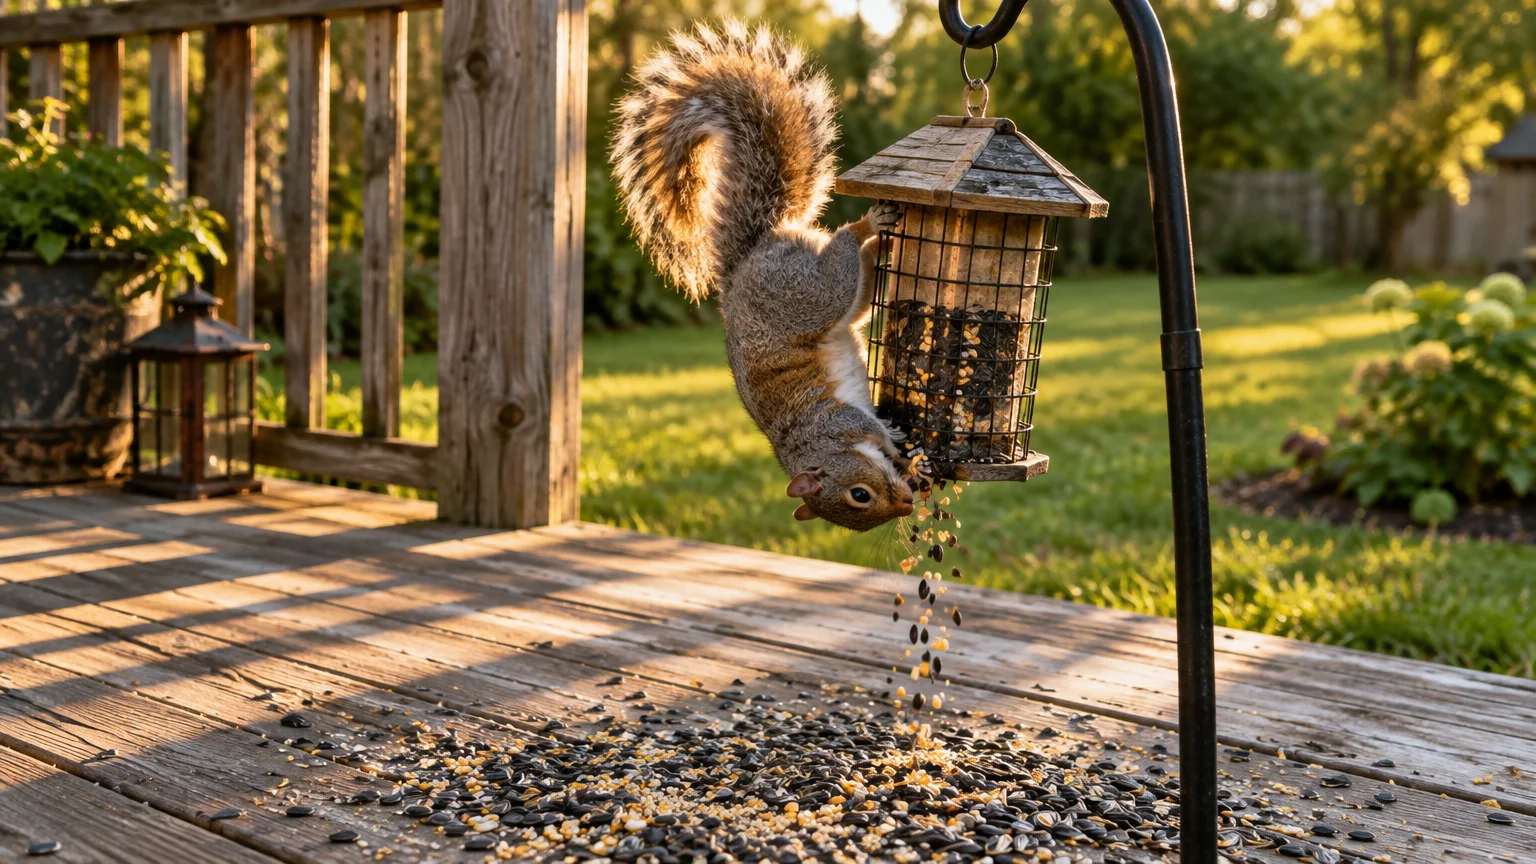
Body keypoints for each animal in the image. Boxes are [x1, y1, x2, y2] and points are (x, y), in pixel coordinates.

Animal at [612, 20, 916, 531]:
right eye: (861, 500)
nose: (909, 503)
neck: (815, 447)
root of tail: (750, 257)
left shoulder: (832, 422)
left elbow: (868, 425)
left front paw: (892, 441)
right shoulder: (833, 423)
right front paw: (899, 449)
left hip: (805, 296)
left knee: (842, 252)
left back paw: (871, 225)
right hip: (818, 295)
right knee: (850, 277)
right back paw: (878, 238)